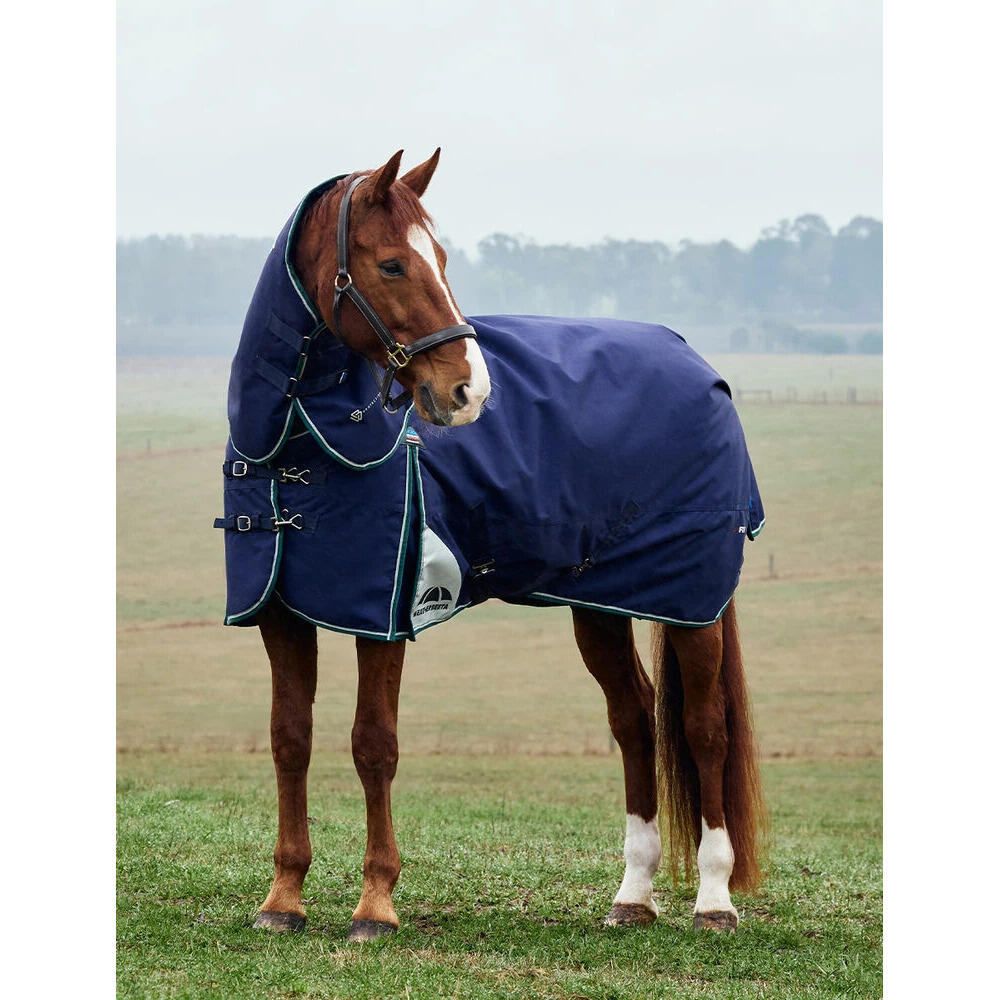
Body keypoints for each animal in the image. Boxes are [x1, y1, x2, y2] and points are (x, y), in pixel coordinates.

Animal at [216, 149, 767, 942]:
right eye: (391, 264)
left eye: (441, 259)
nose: (467, 391)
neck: (298, 446)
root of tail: (701, 368)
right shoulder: (282, 614)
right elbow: (290, 738)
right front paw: (283, 899)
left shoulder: (383, 616)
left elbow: (372, 744)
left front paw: (375, 905)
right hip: (599, 602)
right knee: (634, 720)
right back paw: (632, 895)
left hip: (692, 602)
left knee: (703, 727)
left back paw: (714, 899)